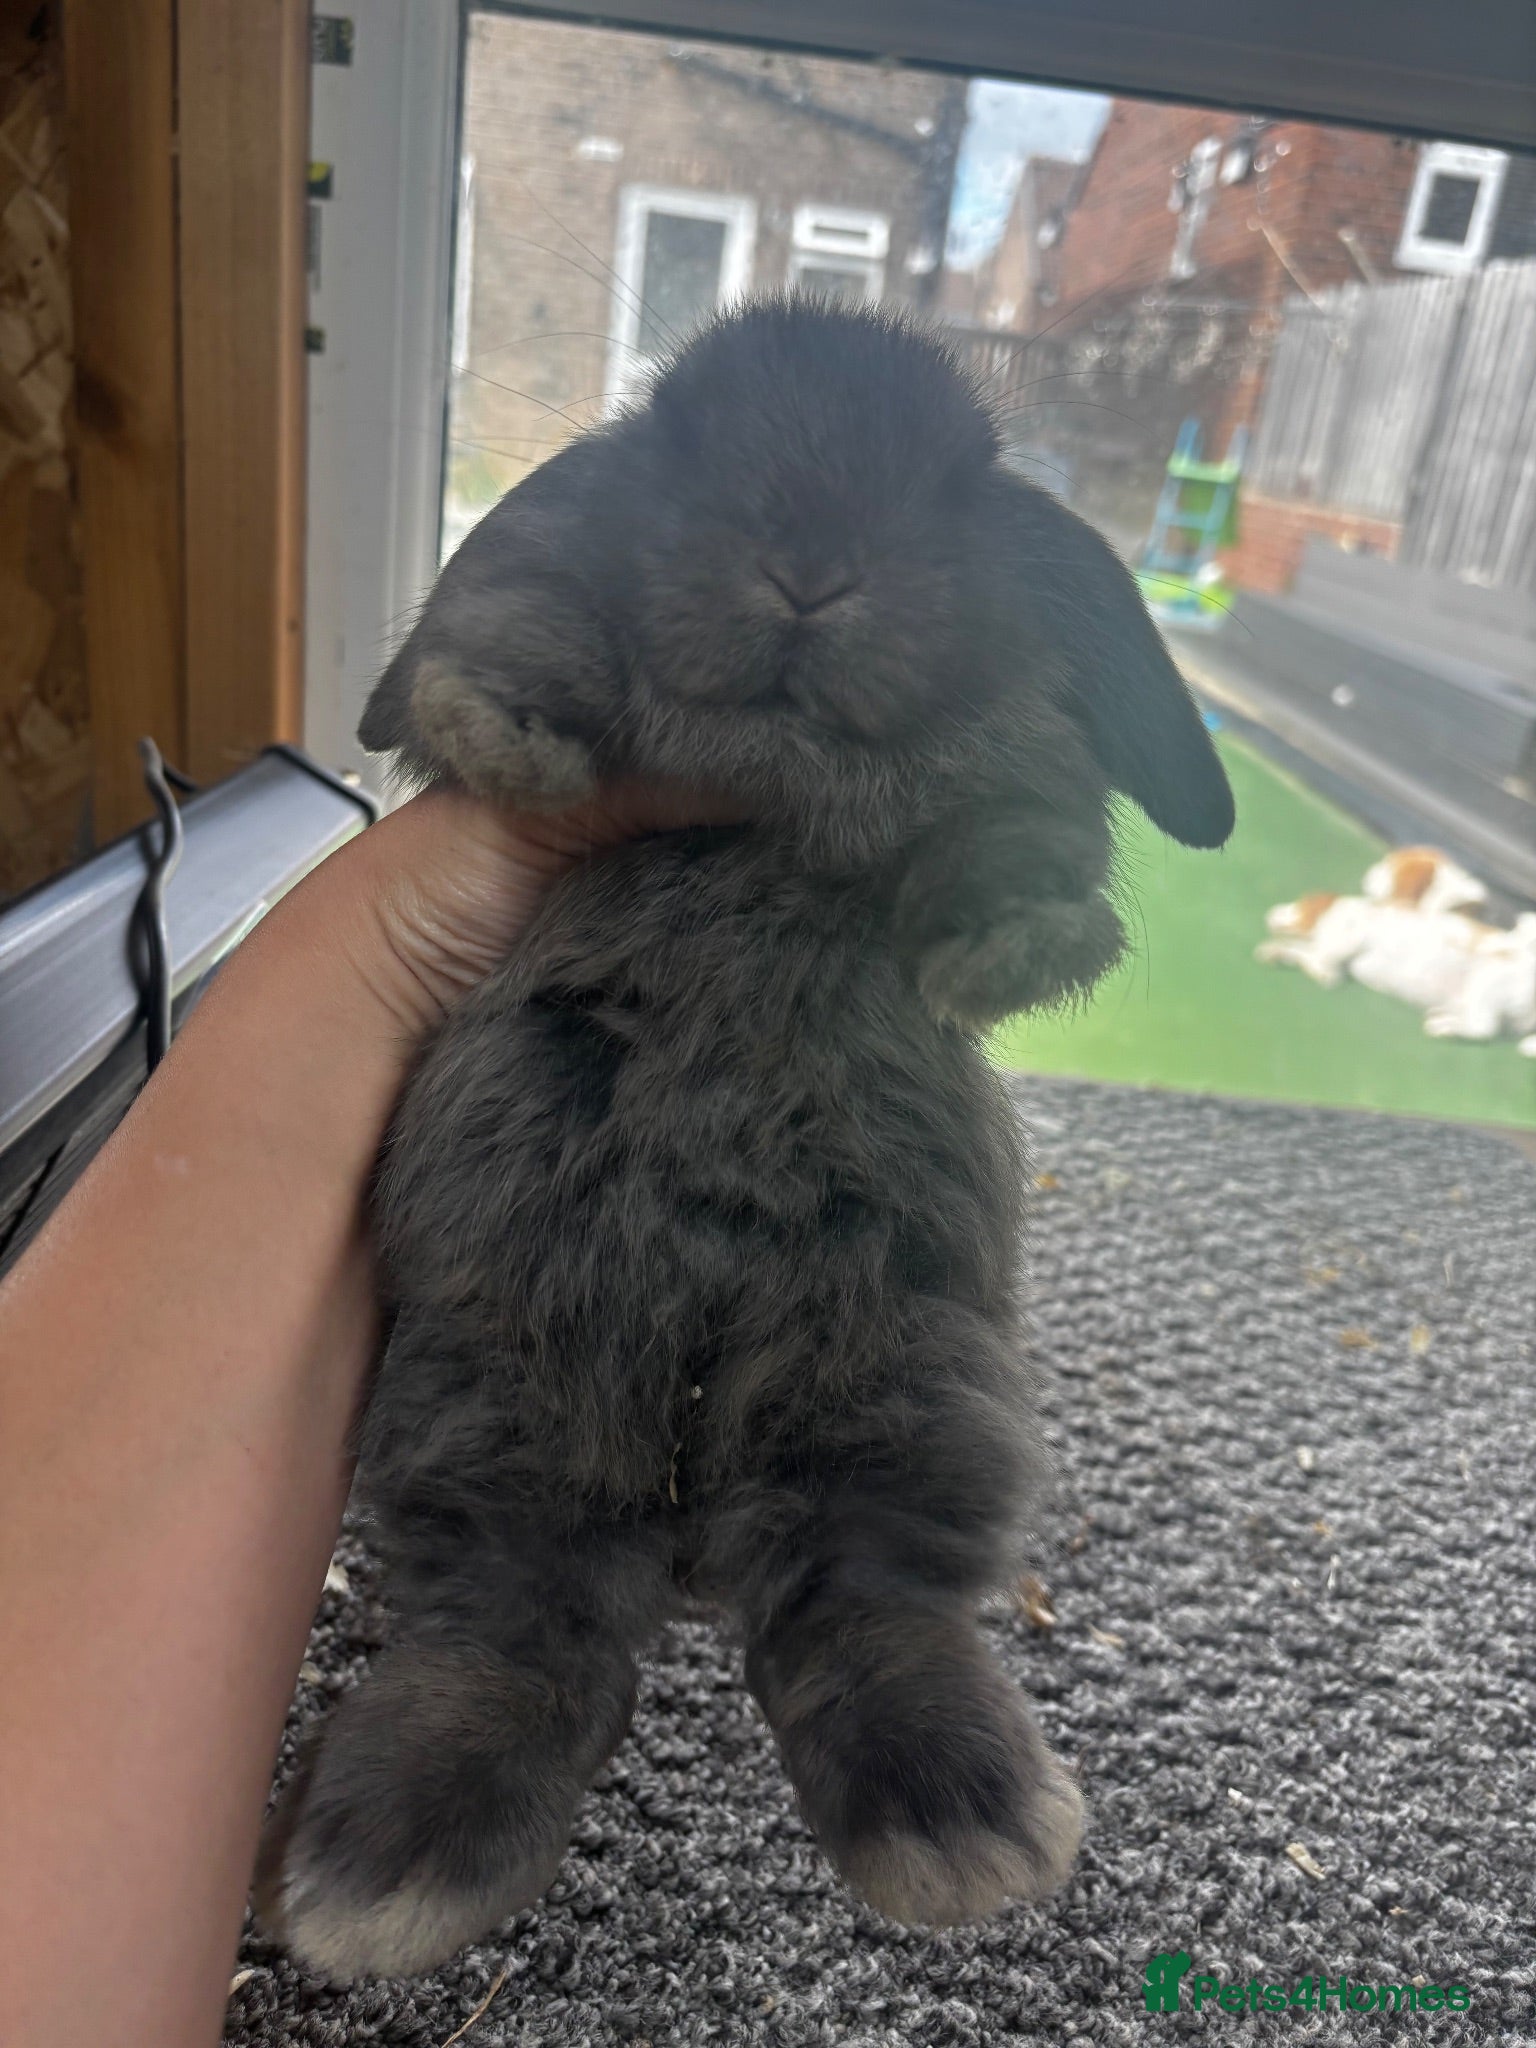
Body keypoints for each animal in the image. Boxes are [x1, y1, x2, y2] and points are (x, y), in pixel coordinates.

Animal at [254, 297, 1234, 1982]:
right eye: (678, 438)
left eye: (955, 483)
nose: (808, 566)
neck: (780, 773)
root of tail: (693, 1483)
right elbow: (517, 622)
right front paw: (509, 728)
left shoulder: (1012, 783)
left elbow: (1017, 827)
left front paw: (1010, 947)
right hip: (498, 1372)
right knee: (520, 1613)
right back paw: (391, 1872)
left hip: (896, 1360)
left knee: (851, 1602)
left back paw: (961, 1829)